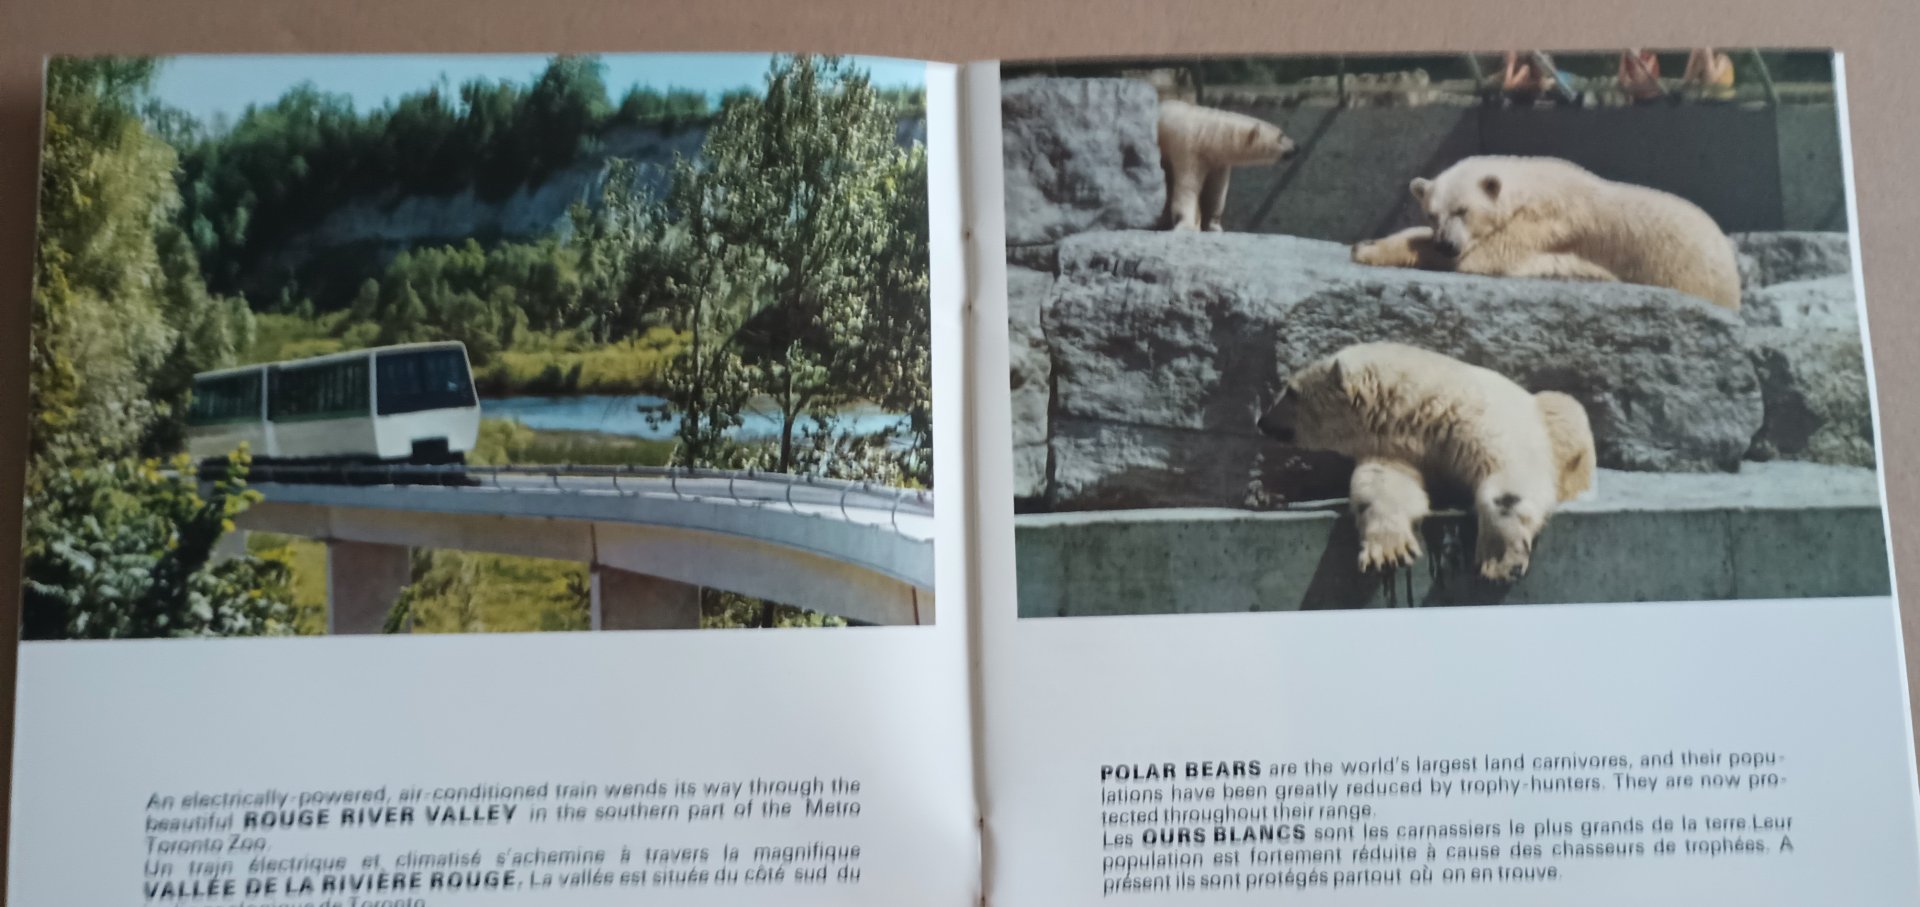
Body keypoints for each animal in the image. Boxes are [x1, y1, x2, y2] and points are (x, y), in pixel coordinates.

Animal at [1156, 99, 1296, 232]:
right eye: (1281, 136)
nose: (1296, 147)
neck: (1206, 135)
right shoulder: (1188, 150)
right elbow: (1188, 187)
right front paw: (1186, 225)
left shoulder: (1217, 161)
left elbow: (1216, 192)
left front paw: (1213, 225)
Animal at [1255, 342, 1597, 582]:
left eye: (1291, 391)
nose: (1262, 421)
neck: (1425, 410)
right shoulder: (1397, 448)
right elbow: (1384, 485)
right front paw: (1389, 553)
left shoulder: (1480, 423)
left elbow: (1510, 475)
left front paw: (1499, 563)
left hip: (1556, 419)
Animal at [1354, 155, 1741, 310]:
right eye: (1433, 214)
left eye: (1463, 210)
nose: (1447, 244)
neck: (1533, 184)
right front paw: (1366, 243)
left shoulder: (1546, 223)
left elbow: (1485, 257)